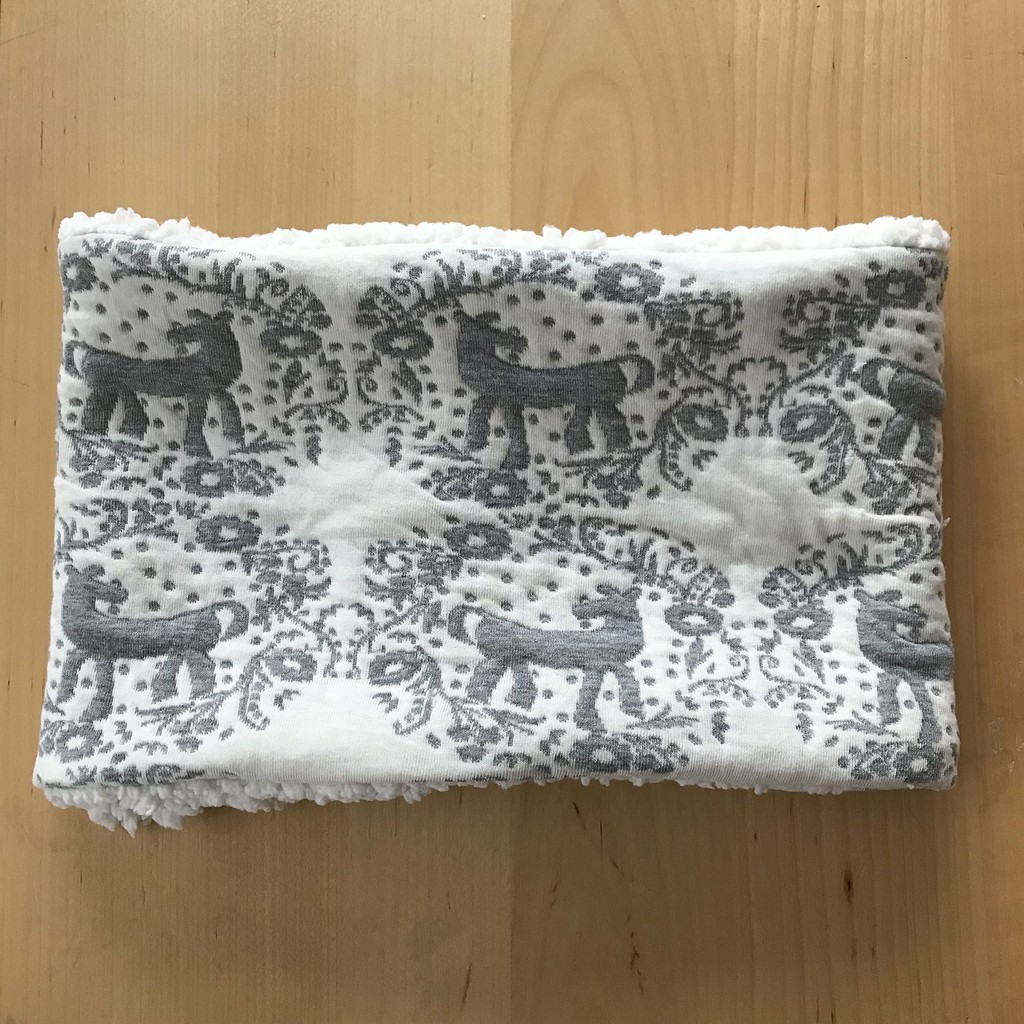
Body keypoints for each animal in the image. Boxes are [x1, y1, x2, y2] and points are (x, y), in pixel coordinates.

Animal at [56, 564, 249, 720]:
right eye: (92, 583)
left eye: (97, 582)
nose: (122, 594)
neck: (89, 620)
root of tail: (208, 610)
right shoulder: (91, 650)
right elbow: (73, 661)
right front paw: (65, 695)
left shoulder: (101, 652)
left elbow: (103, 681)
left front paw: (93, 711)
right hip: (182, 650)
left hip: (190, 649)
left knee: (203, 669)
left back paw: (196, 697)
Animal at [64, 308, 244, 458]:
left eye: (196, 326)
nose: (171, 335)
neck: (211, 364)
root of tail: (88, 350)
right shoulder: (199, 392)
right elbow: (199, 420)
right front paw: (200, 450)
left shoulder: (210, 391)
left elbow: (228, 403)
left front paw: (232, 436)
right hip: (105, 388)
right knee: (94, 408)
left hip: (112, 389)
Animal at [448, 584, 645, 731]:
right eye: (603, 599)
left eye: (609, 601)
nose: (577, 609)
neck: (614, 633)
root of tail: (488, 616)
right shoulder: (600, 663)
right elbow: (599, 687)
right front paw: (593, 720)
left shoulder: (605, 664)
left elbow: (620, 679)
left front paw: (631, 710)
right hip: (500, 656)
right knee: (484, 671)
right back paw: (478, 701)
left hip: (510, 657)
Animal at [453, 309, 655, 471]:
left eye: (495, 332)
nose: (520, 341)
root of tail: (613, 363)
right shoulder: (494, 397)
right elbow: (481, 412)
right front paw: (476, 444)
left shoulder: (508, 400)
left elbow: (514, 428)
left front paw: (513, 461)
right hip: (598, 402)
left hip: (602, 402)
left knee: (614, 422)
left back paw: (617, 450)